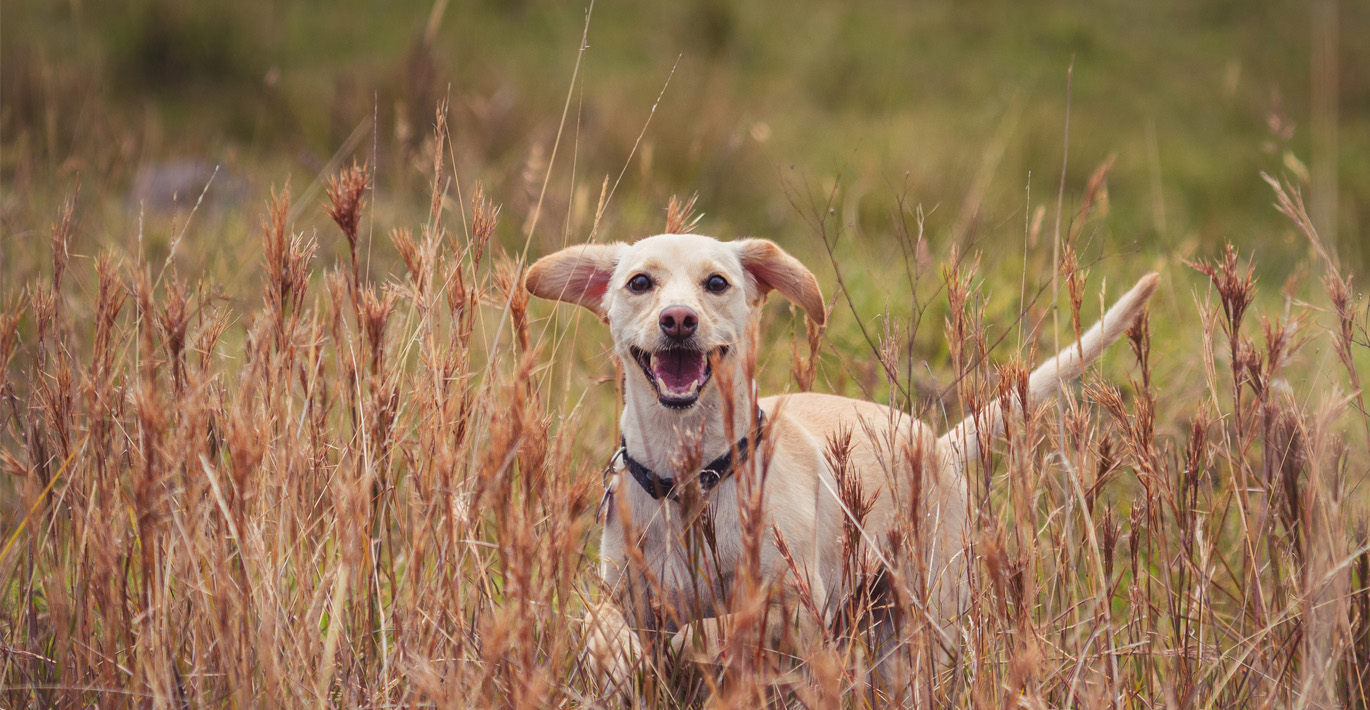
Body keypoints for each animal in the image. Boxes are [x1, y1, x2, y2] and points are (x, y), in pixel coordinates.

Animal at [523, 237, 1156, 688]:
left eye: (716, 282)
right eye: (639, 282)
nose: (678, 319)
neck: (690, 481)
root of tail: (935, 441)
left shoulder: (797, 610)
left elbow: (715, 626)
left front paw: (688, 647)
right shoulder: (630, 594)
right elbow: (612, 628)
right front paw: (616, 650)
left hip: (923, 621)